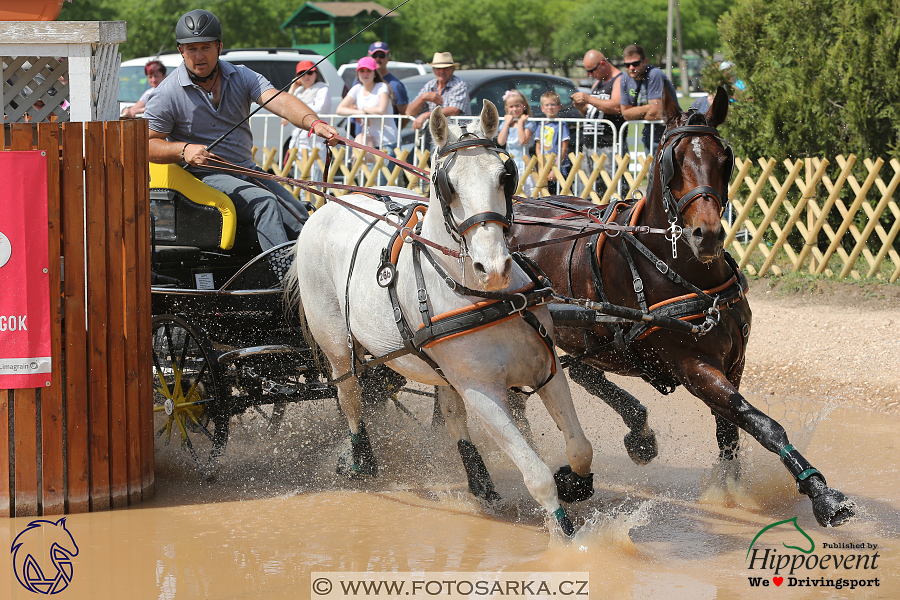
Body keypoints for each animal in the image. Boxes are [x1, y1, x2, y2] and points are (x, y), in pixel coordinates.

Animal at [288, 101, 596, 536]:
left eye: (505, 174)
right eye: (447, 184)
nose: (493, 267)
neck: (486, 298)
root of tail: (327, 206)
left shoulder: (547, 369)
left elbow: (580, 448)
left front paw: (574, 481)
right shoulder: (483, 392)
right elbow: (536, 475)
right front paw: (565, 533)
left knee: (451, 416)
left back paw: (480, 482)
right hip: (337, 347)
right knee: (350, 397)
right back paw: (360, 460)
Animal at [510, 86, 856, 528]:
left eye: (724, 158)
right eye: (672, 159)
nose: (706, 234)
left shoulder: (734, 362)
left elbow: (731, 430)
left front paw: (730, 489)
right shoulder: (694, 367)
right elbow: (762, 424)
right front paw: (821, 494)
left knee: (584, 371)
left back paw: (638, 432)